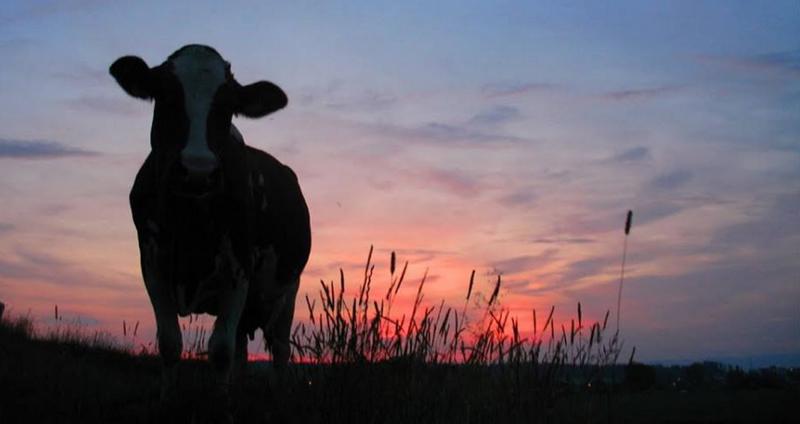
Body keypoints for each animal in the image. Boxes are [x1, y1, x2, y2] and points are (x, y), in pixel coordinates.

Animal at [111, 44, 310, 400]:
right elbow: (170, 344)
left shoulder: (239, 267)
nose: (197, 170)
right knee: (243, 348)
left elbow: (219, 350)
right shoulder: (152, 264)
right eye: (165, 95)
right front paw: (168, 398)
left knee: (279, 348)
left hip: (287, 291)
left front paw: (221, 402)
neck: (190, 223)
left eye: (229, 106)